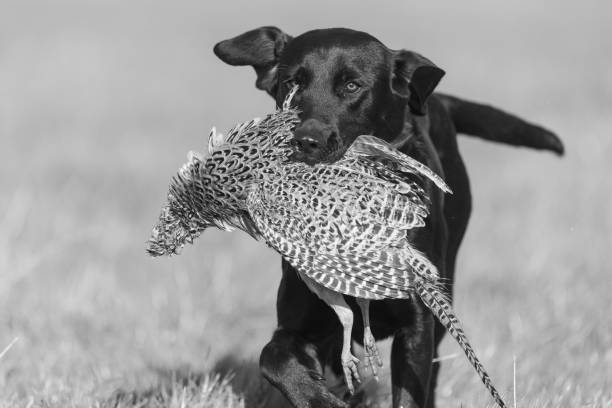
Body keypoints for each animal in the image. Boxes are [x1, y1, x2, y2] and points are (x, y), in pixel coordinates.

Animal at [212, 27, 564, 406]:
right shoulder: (301, 320)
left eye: (352, 85)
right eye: (292, 83)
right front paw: (325, 399)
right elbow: (273, 359)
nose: (306, 140)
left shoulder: (418, 326)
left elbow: (410, 390)